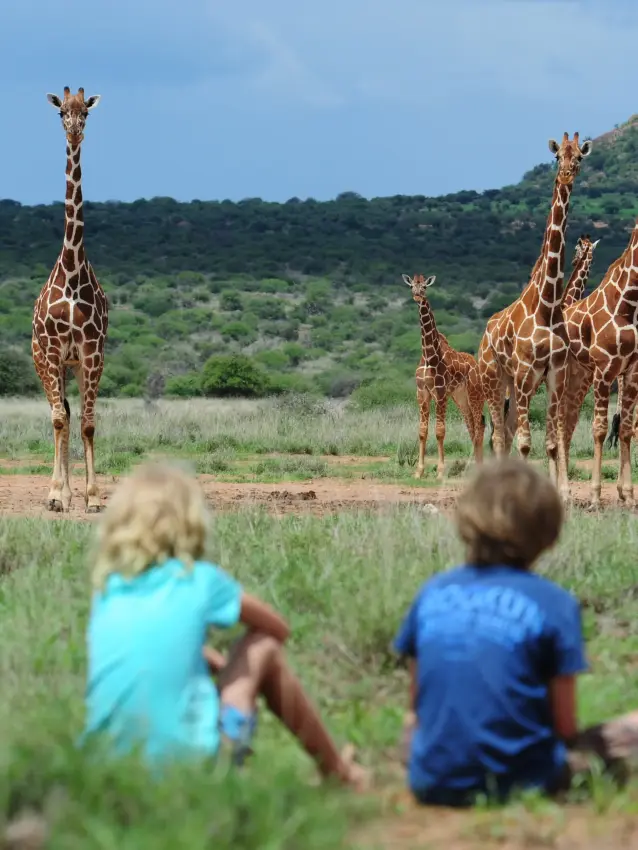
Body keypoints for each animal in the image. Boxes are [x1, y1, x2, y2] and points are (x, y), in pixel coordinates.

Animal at [402, 274, 485, 479]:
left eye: (424, 287)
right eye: (411, 286)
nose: (417, 295)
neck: (429, 354)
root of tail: (476, 366)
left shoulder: (440, 393)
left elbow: (440, 431)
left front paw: (440, 471)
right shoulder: (422, 392)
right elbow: (422, 431)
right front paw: (419, 472)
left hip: (475, 394)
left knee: (479, 427)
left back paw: (479, 468)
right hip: (460, 397)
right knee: (472, 426)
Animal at [478, 132, 592, 501]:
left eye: (579, 157)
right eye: (557, 157)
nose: (567, 175)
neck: (548, 304)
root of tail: (484, 334)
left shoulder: (554, 375)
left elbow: (552, 443)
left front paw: (563, 495)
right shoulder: (528, 373)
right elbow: (526, 444)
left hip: (515, 384)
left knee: (507, 431)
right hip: (495, 377)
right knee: (499, 434)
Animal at [563, 219, 638, 507]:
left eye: (577, 248)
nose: (572, 261)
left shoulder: (630, 373)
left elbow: (625, 429)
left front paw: (627, 495)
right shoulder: (604, 371)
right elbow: (599, 429)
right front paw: (596, 495)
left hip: (576, 382)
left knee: (564, 427)